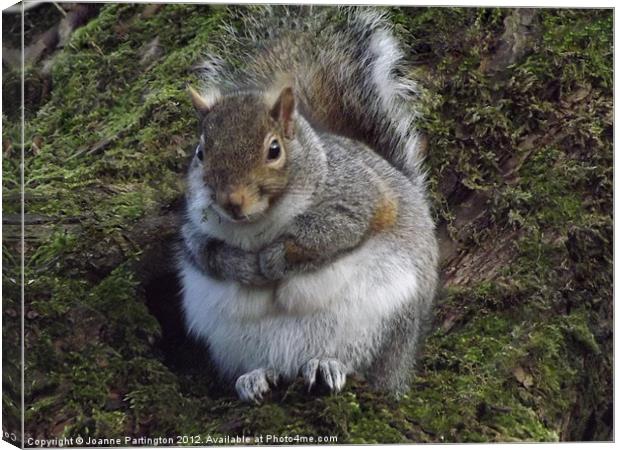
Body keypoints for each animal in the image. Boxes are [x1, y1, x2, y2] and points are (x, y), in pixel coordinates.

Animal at [178, 4, 440, 404]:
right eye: (201, 153)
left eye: (274, 150)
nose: (232, 202)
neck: (258, 224)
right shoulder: (194, 226)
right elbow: (207, 253)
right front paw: (242, 266)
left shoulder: (356, 196)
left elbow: (326, 234)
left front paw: (272, 260)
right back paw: (254, 377)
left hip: (381, 324)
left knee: (364, 367)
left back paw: (327, 365)